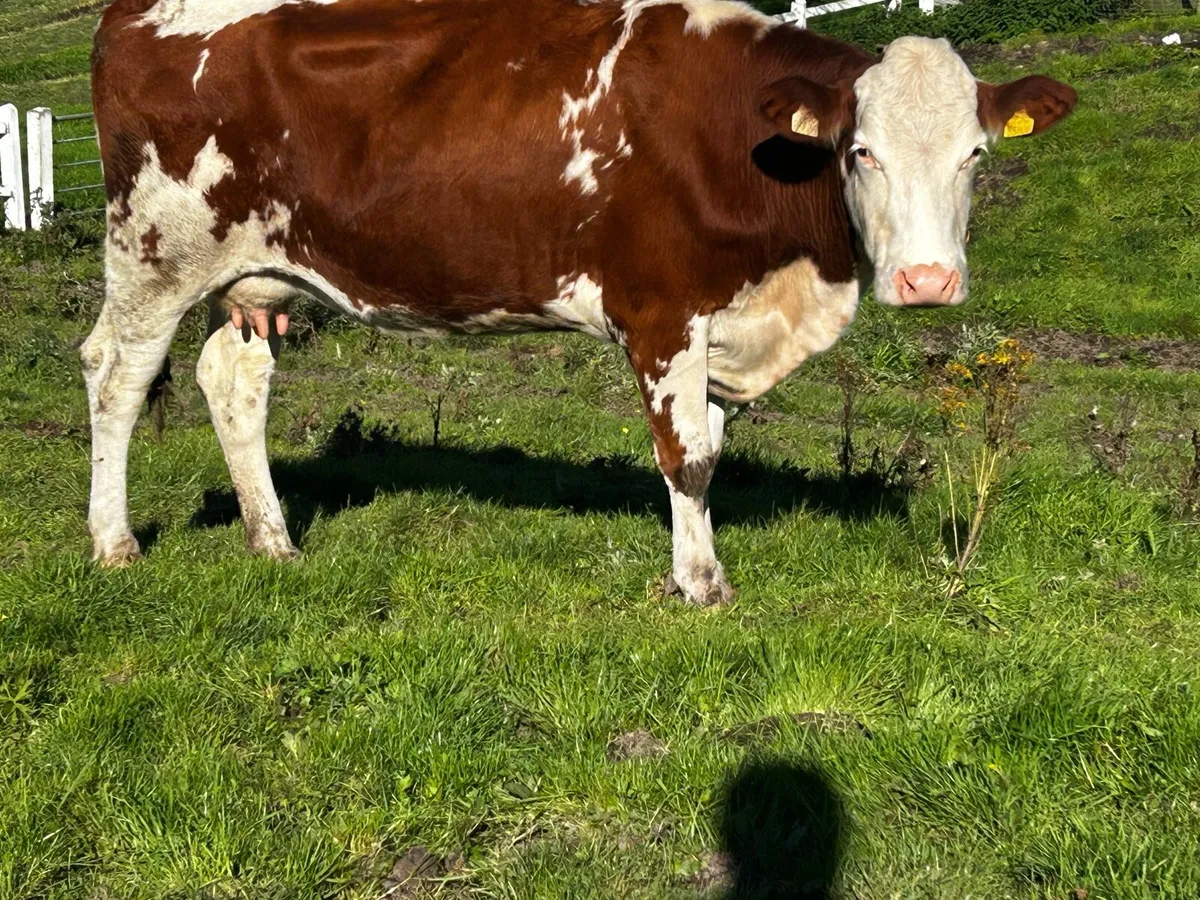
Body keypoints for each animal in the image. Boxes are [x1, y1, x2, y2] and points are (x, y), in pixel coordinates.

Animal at [85, 0, 1076, 605]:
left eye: (976, 153)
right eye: (860, 150)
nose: (927, 281)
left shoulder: (719, 323)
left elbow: (709, 448)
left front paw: (691, 566)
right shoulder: (662, 309)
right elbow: (689, 461)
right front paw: (702, 586)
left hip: (256, 271)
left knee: (233, 379)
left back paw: (273, 539)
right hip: (153, 250)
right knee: (116, 376)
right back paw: (113, 543)